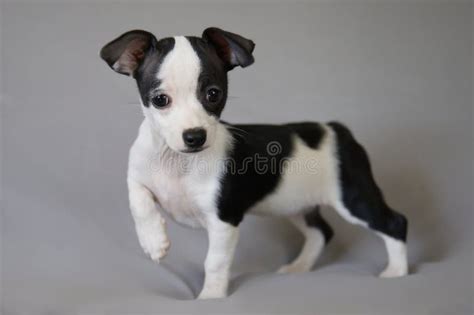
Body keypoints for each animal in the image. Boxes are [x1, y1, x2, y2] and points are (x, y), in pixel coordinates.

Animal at [99, 26, 408, 298]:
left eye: (213, 94)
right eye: (160, 100)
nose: (195, 136)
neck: (177, 162)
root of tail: (334, 129)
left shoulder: (224, 222)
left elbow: (214, 263)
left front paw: (210, 298)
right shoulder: (137, 176)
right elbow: (139, 202)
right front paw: (153, 241)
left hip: (353, 198)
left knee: (395, 223)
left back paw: (397, 272)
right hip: (296, 204)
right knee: (321, 232)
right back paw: (299, 267)